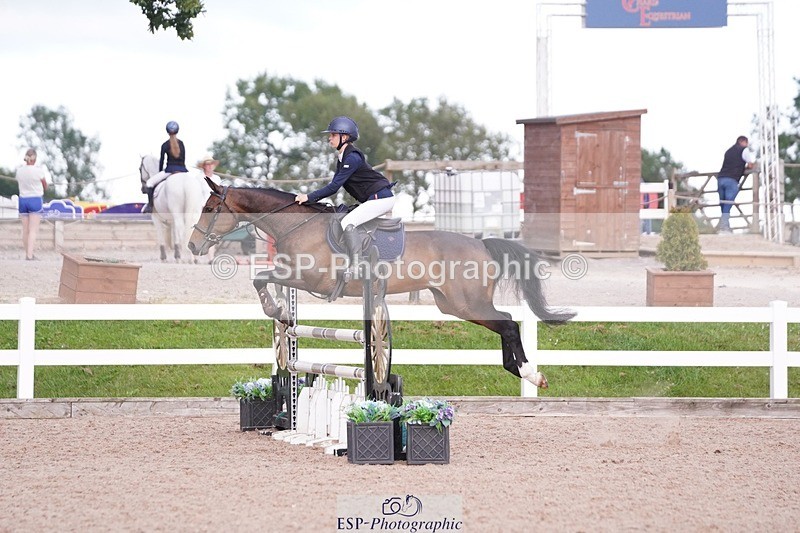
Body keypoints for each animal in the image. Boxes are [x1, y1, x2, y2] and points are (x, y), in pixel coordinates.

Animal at [187, 179, 575, 389]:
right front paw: (282, 316)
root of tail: (481, 244)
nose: (192, 246)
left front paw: (276, 311)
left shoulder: (308, 277)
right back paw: (520, 371)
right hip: (452, 304)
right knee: (506, 322)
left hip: (467, 302)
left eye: (210, 208)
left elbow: (260, 278)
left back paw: (530, 374)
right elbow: (265, 281)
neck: (296, 225)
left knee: (508, 323)